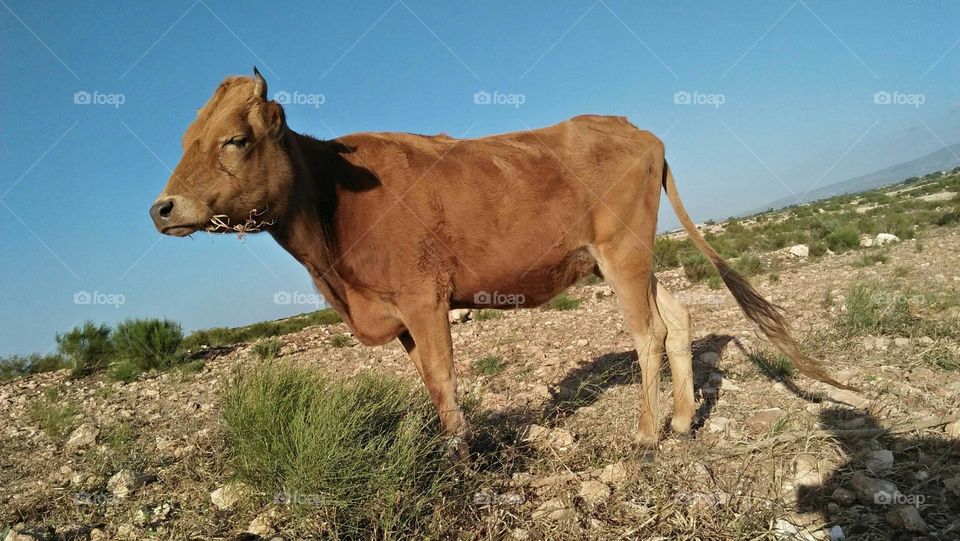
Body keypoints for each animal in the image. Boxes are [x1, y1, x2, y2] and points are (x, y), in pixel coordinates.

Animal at [152, 68, 848, 456]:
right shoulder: (401, 317)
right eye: (185, 140)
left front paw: (460, 459)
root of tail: (634, 128)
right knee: (675, 317)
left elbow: (443, 381)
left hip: (623, 253)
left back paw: (648, 434)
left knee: (647, 332)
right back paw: (679, 422)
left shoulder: (424, 300)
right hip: (627, 258)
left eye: (234, 140)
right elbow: (429, 385)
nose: (162, 208)